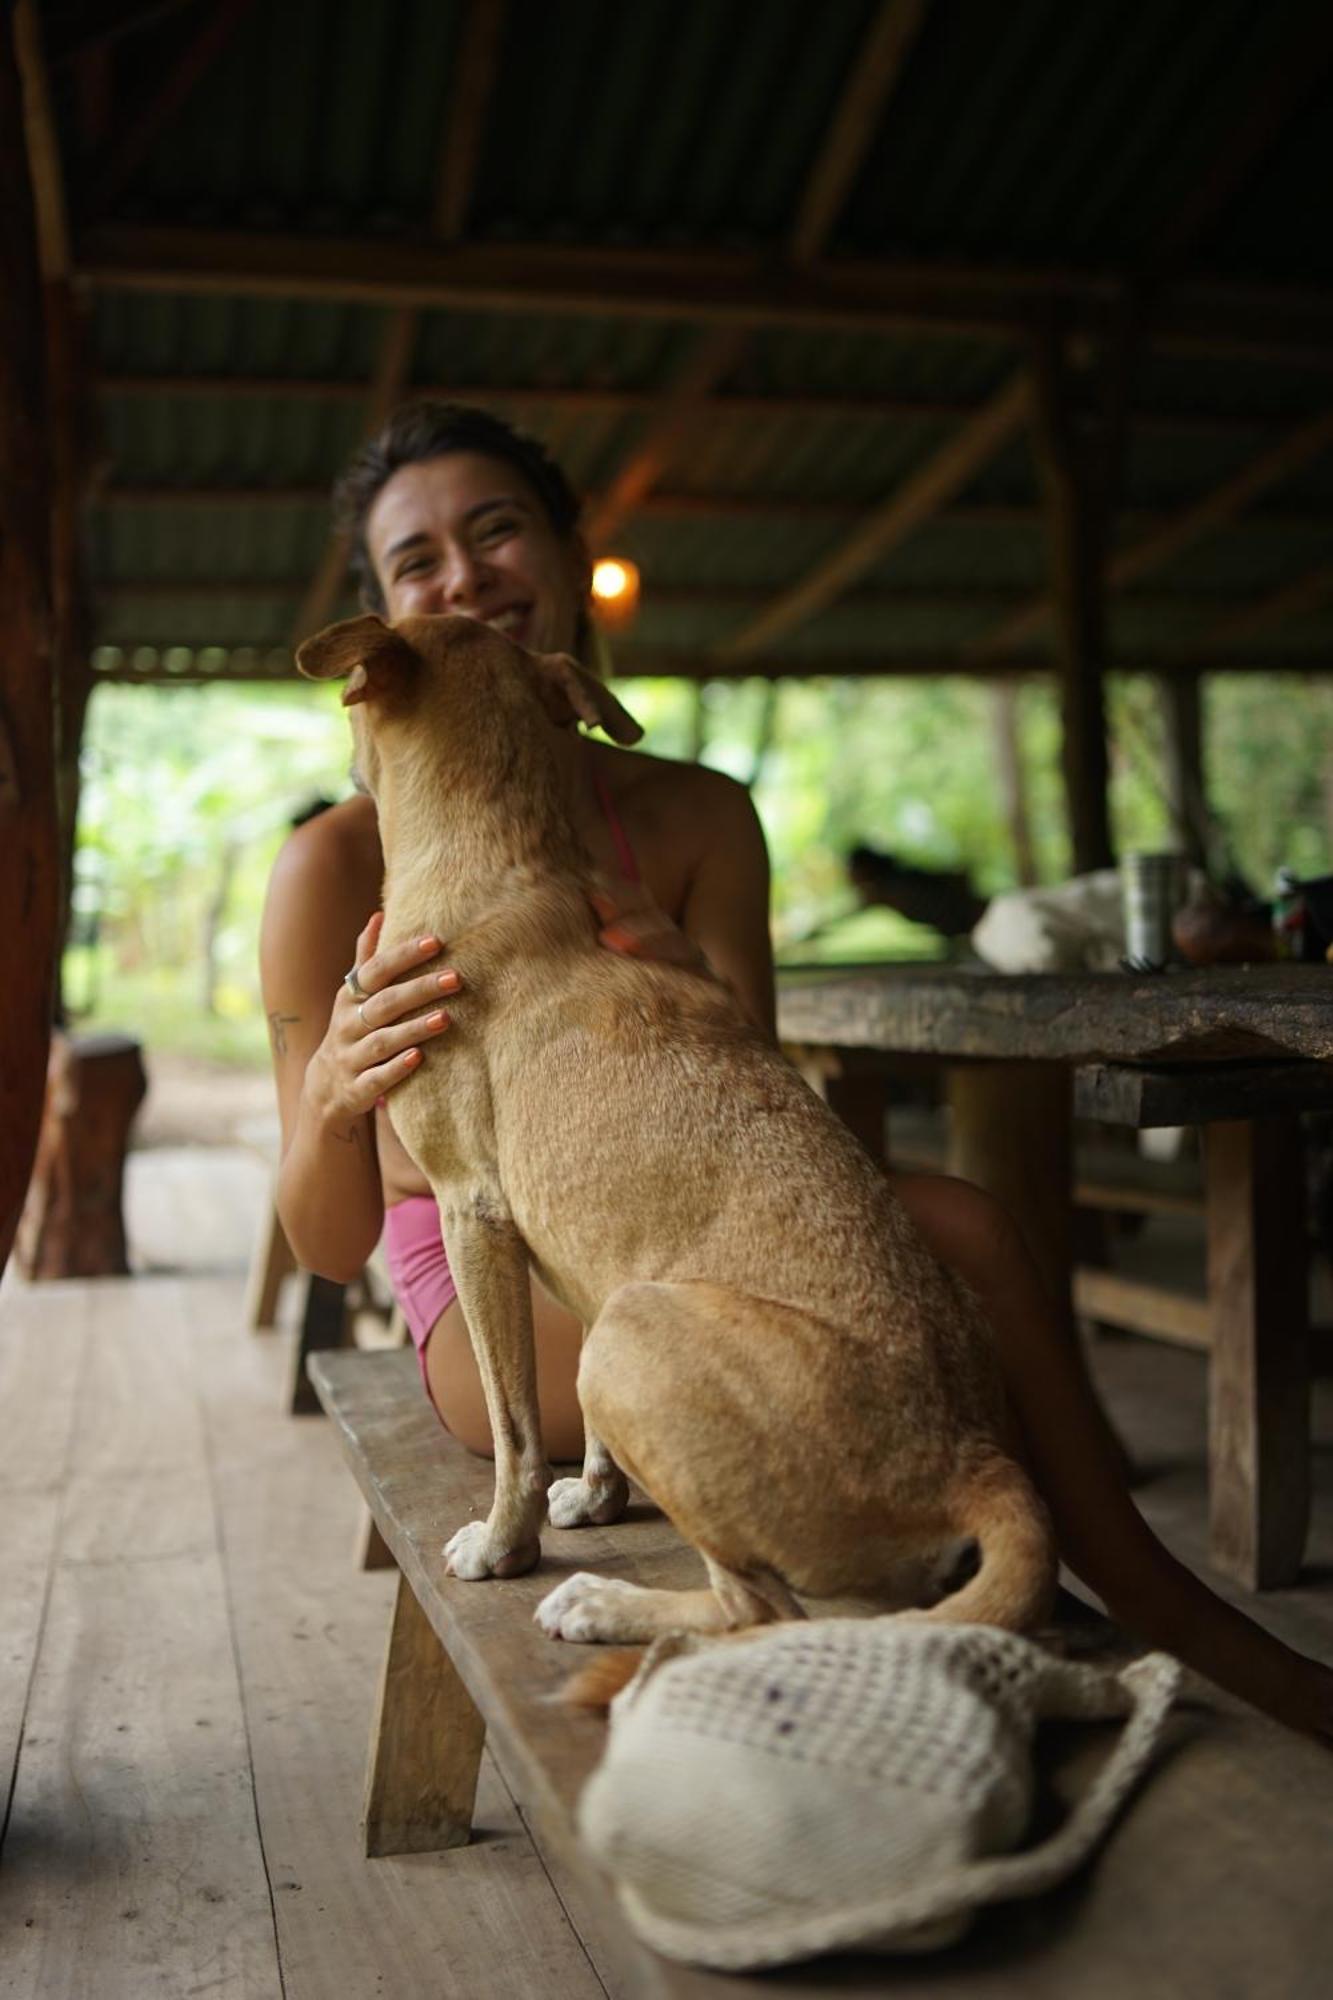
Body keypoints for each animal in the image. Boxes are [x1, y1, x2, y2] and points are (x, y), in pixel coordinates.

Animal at [296, 616, 1056, 1648]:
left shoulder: (474, 1212)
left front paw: (505, 1542)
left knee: (757, 1612)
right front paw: (597, 1494)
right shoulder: (585, 1250)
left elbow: (513, 1425)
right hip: (637, 1311)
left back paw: (607, 1603)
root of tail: (972, 1455)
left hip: (632, 1331)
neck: (501, 855)